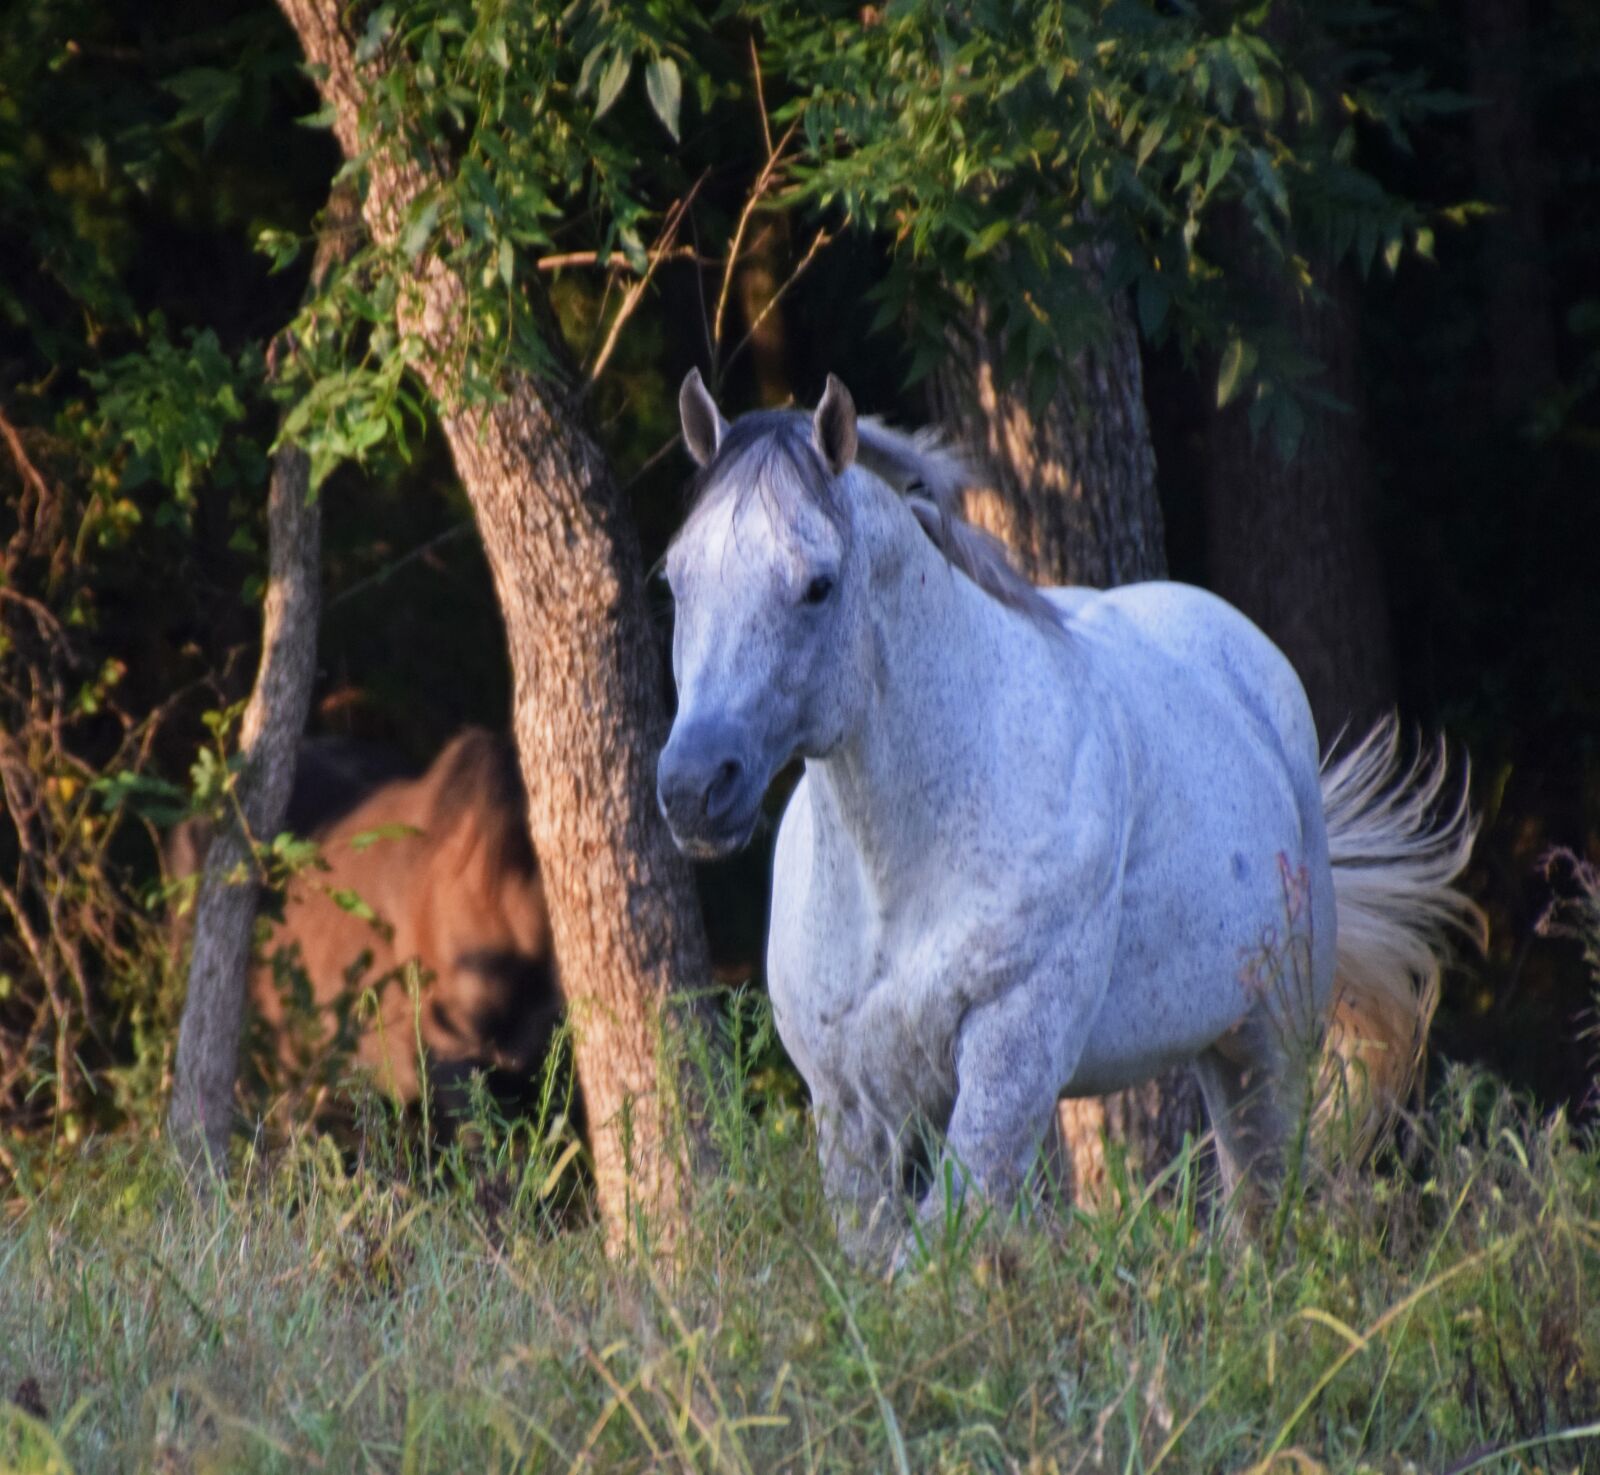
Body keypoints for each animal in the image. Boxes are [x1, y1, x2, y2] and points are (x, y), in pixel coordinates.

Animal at [656, 369, 1482, 1265]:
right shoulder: (851, 1110)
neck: (897, 881)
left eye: (817, 584)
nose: (693, 785)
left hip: (1266, 1042)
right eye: (676, 580)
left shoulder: (1008, 1053)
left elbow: (935, 1251)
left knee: (1264, 1210)